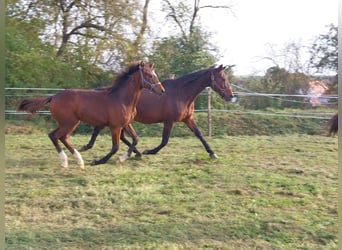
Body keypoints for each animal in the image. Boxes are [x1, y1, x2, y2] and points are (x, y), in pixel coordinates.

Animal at [16, 61, 165, 169]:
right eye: (150, 75)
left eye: (155, 74)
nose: (162, 91)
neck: (122, 99)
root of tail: (53, 97)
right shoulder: (115, 127)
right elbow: (115, 147)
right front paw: (98, 161)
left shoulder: (126, 124)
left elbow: (135, 139)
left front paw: (122, 158)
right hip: (69, 122)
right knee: (54, 135)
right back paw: (65, 162)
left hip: (71, 122)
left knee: (63, 137)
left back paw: (79, 160)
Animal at [81, 64, 235, 158]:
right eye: (223, 78)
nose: (231, 96)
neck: (181, 93)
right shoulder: (169, 121)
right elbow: (164, 141)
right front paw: (150, 151)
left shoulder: (188, 119)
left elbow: (199, 135)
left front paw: (212, 153)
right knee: (100, 131)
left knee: (121, 136)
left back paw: (135, 153)